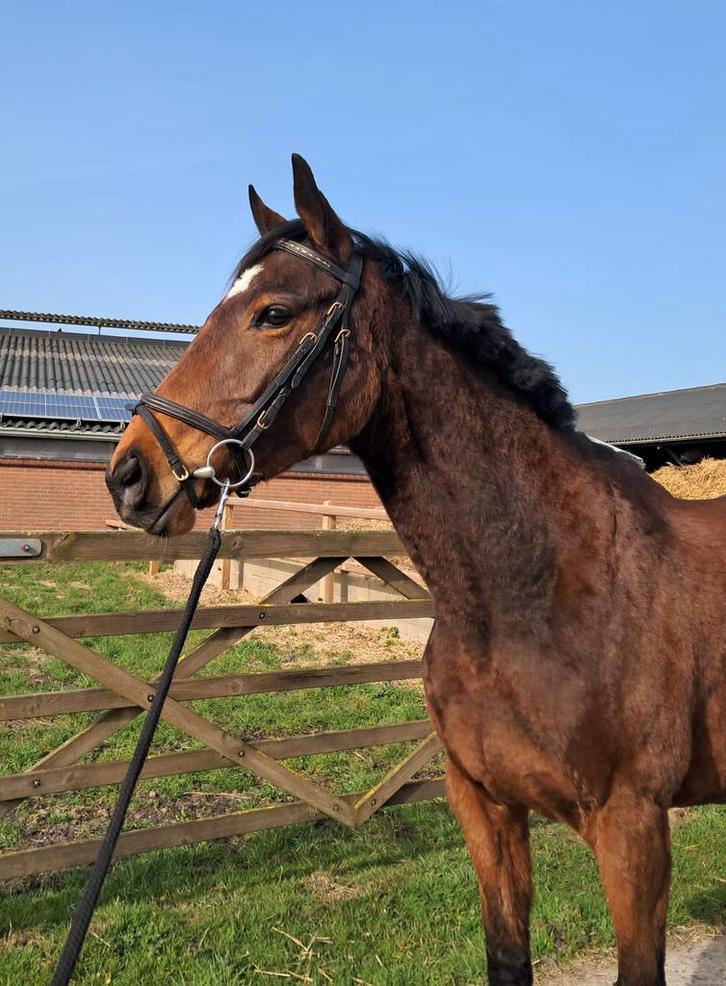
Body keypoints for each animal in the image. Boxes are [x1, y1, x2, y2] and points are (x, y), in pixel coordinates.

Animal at [106, 154, 725, 986]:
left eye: (273, 313)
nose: (128, 474)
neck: (540, 594)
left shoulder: (634, 830)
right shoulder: (485, 809)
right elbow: (507, 955)